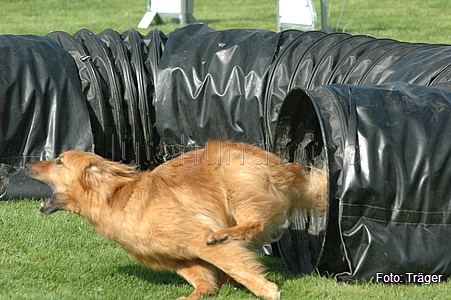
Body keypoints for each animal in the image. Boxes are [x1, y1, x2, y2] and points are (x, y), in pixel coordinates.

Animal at [27, 141, 328, 300]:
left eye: (59, 162)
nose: (28, 164)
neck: (116, 198)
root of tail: (291, 170)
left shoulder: (198, 238)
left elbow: (237, 265)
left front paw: (266, 290)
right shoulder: (181, 258)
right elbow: (203, 280)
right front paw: (199, 294)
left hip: (232, 173)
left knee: (253, 224)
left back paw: (224, 235)